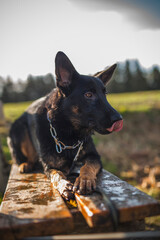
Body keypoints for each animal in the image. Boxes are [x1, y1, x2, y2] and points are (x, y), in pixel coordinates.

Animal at [7, 52, 123, 201]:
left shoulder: (94, 156)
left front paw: (84, 180)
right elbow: (57, 174)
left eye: (105, 94)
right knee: (21, 158)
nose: (119, 119)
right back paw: (25, 164)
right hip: (18, 129)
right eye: (88, 94)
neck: (69, 131)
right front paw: (64, 185)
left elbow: (88, 166)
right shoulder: (49, 166)